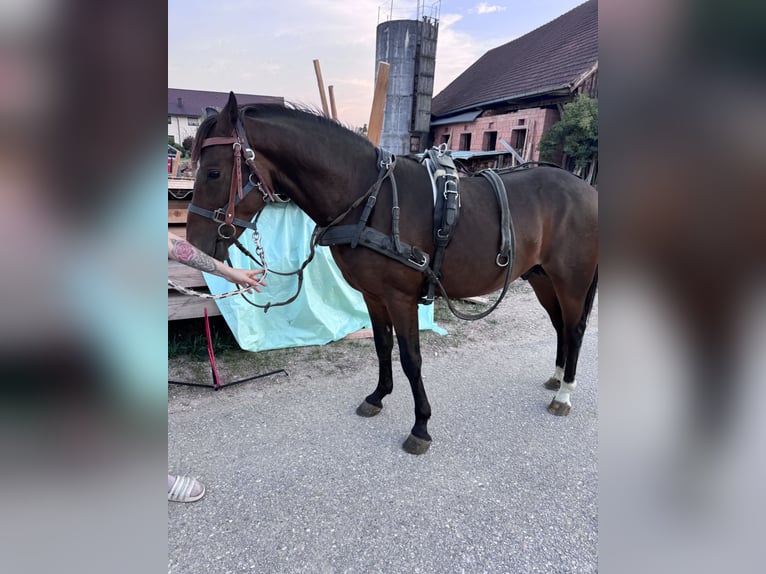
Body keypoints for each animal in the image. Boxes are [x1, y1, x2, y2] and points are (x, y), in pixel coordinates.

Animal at [185, 92, 598, 455]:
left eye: (214, 172)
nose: (193, 244)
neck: (370, 201)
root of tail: (586, 189)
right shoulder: (373, 294)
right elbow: (382, 347)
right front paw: (377, 396)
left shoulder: (401, 298)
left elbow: (410, 358)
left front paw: (421, 426)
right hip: (542, 278)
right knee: (560, 326)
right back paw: (556, 377)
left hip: (571, 281)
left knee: (575, 329)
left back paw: (565, 393)